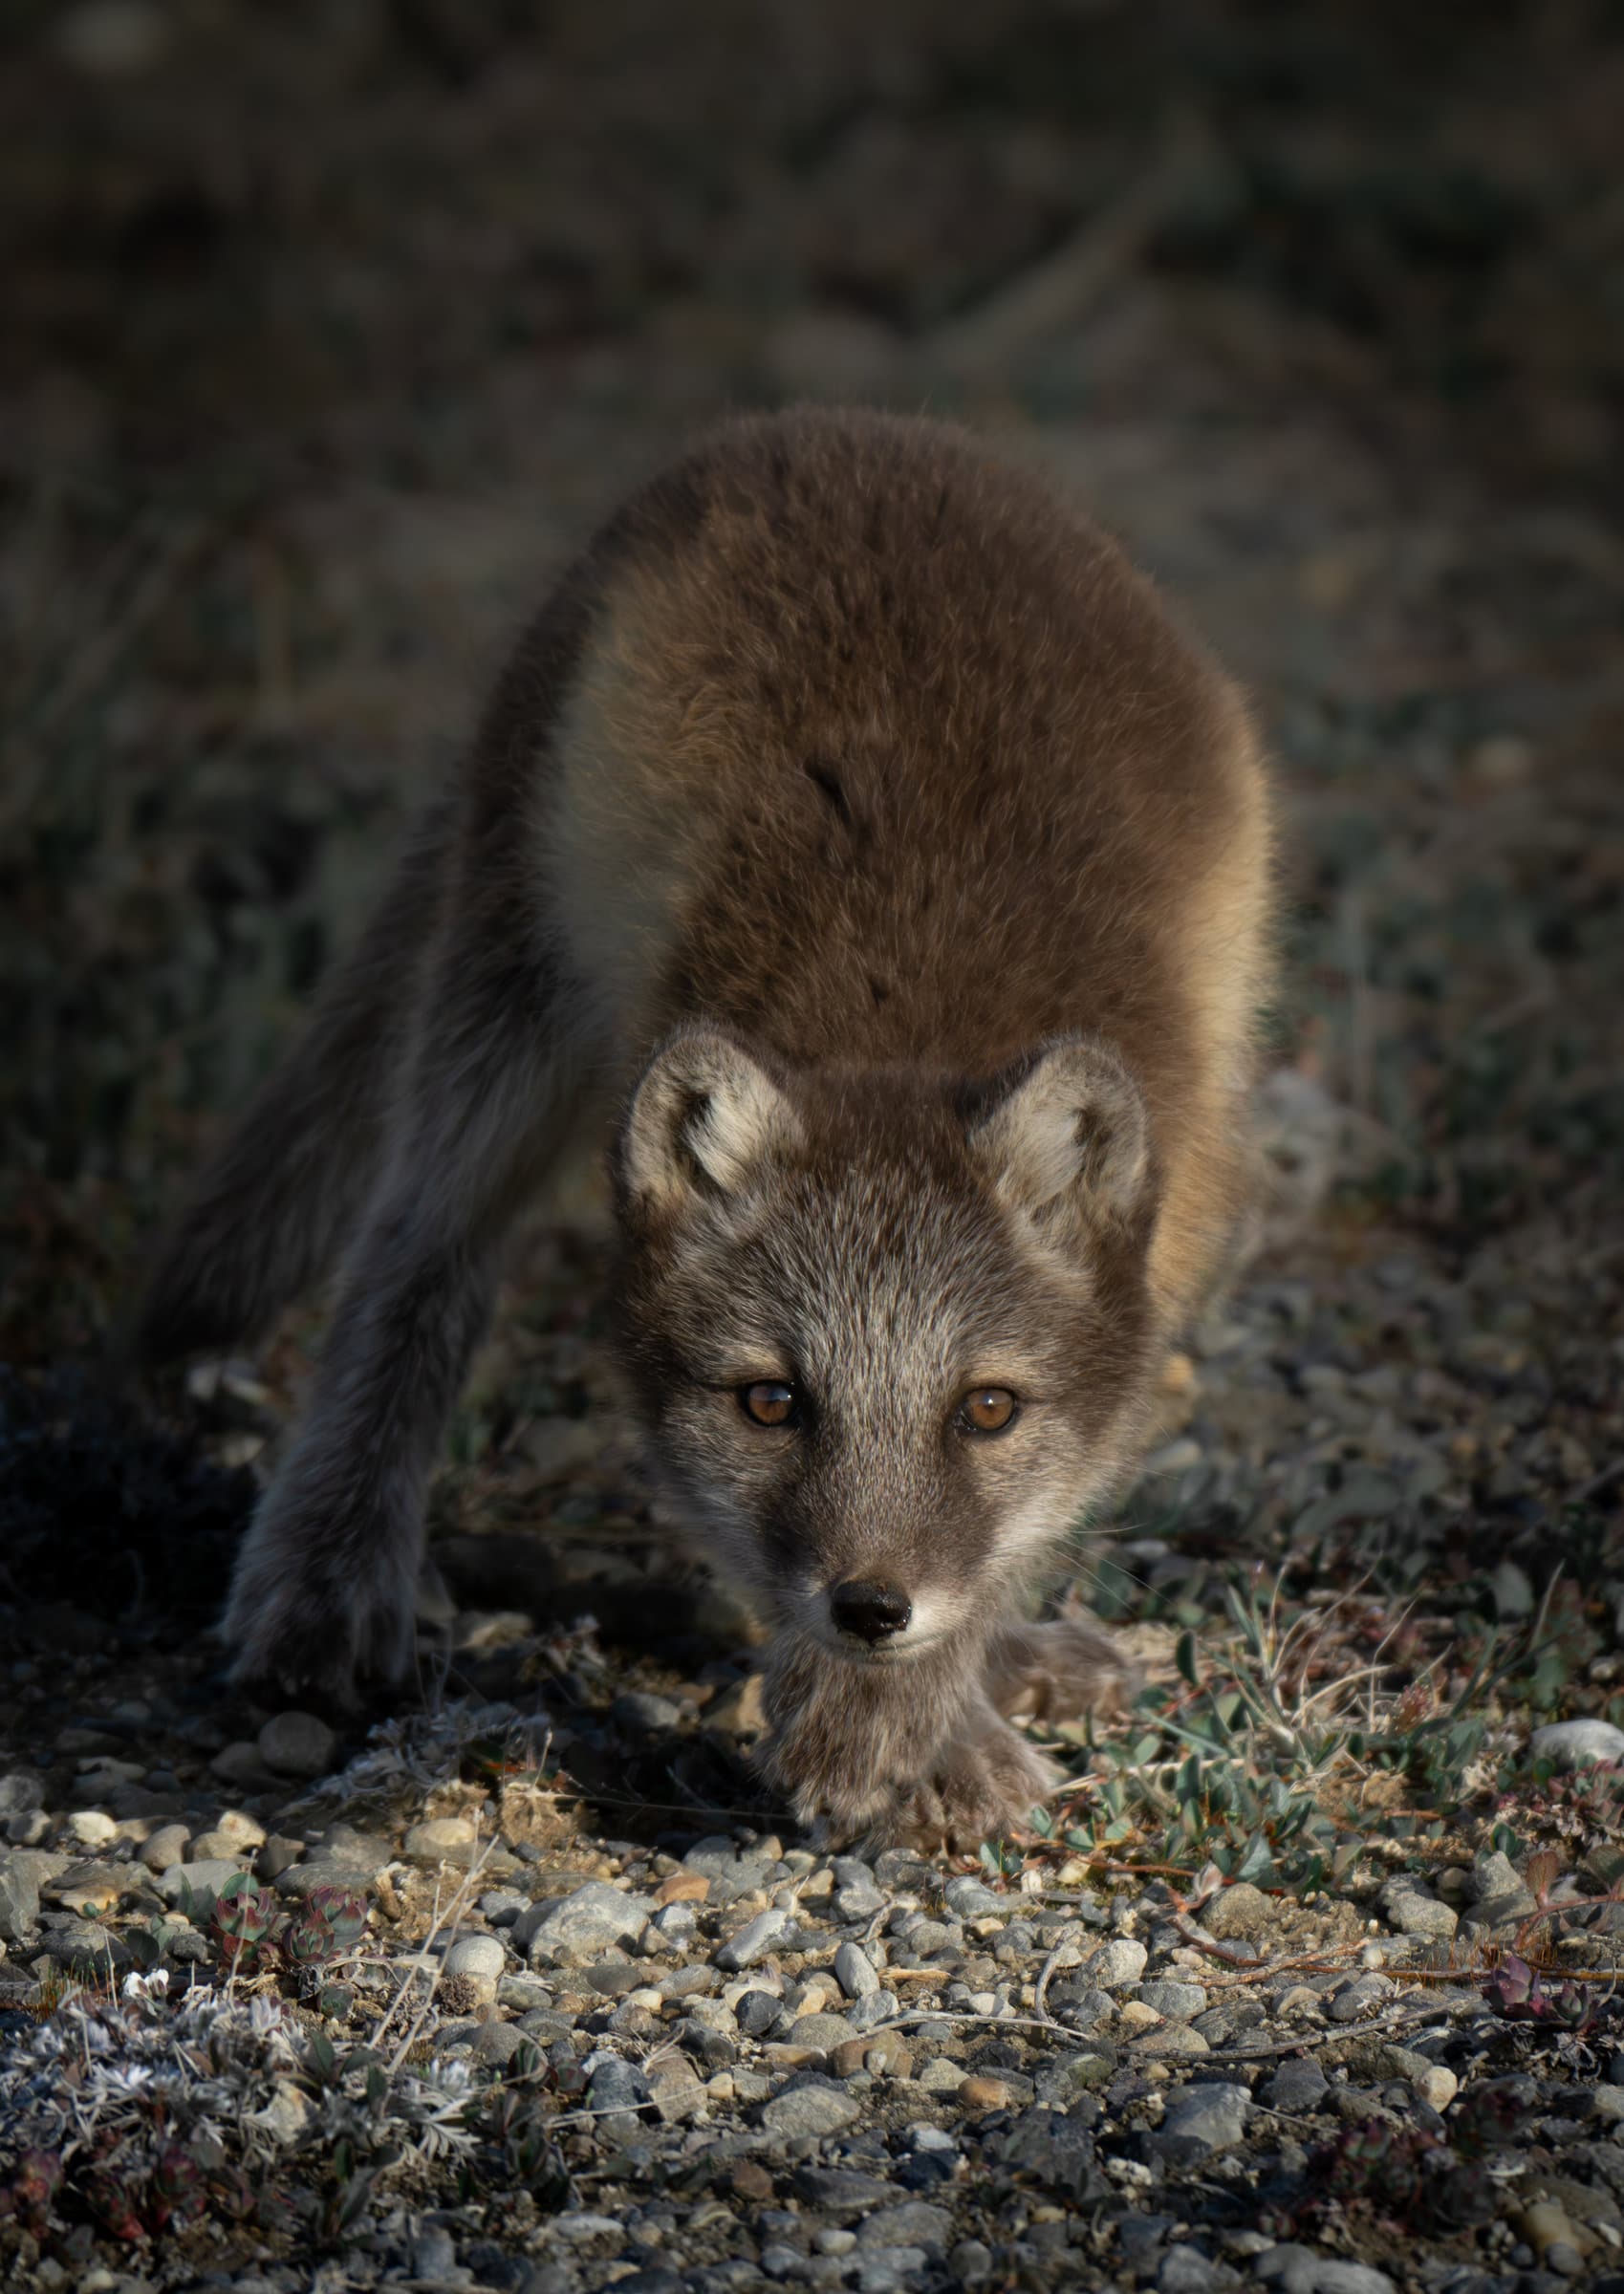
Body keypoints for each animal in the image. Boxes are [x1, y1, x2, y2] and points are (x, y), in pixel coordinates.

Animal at [130, 406, 1275, 1852]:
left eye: (988, 1410)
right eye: (770, 1402)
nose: (870, 1610)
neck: (912, 1013)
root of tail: (834, 425)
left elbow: (1036, 1512)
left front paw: (924, 1705)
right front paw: (878, 1730)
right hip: (507, 998)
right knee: (414, 1264)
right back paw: (324, 1583)